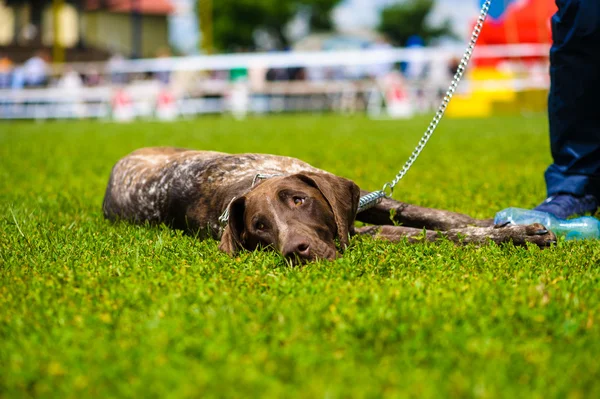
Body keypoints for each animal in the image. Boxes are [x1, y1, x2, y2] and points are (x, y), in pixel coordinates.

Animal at [102, 148, 552, 264]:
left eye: (299, 200)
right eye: (258, 228)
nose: (296, 252)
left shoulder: (367, 198)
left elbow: (434, 216)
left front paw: (497, 222)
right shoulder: (367, 230)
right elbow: (438, 235)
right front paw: (513, 235)